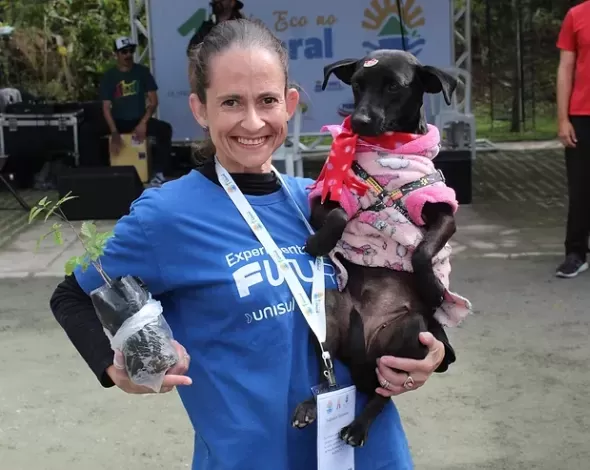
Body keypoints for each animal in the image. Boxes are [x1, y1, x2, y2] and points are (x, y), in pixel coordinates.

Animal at [294, 50, 464, 448]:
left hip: (411, 331)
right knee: (327, 375)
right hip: (329, 311)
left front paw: (434, 288)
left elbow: (422, 250)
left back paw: (359, 425)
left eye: (393, 87)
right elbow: (339, 214)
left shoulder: (442, 208)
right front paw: (320, 241)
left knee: (385, 393)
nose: (358, 121)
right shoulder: (326, 194)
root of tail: (363, 359)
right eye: (357, 84)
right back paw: (311, 406)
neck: (388, 149)